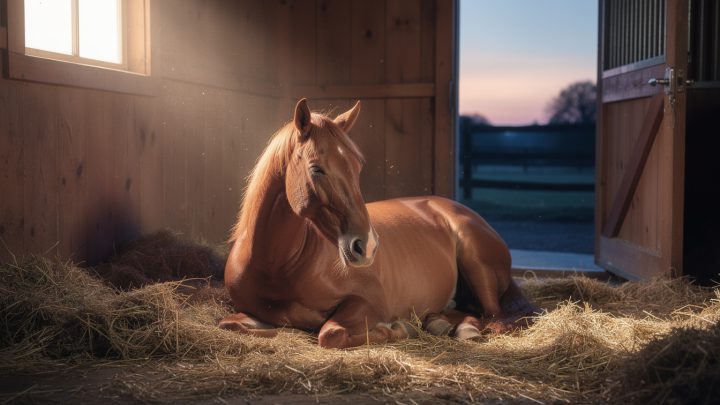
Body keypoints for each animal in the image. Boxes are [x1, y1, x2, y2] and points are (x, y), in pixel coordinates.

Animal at [219, 99, 537, 348]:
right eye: (316, 169)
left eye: (358, 166)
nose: (368, 246)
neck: (277, 266)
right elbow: (228, 324)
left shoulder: (368, 302)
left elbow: (329, 334)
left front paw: (395, 330)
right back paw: (439, 322)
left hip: (476, 262)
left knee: (494, 317)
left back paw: (460, 329)